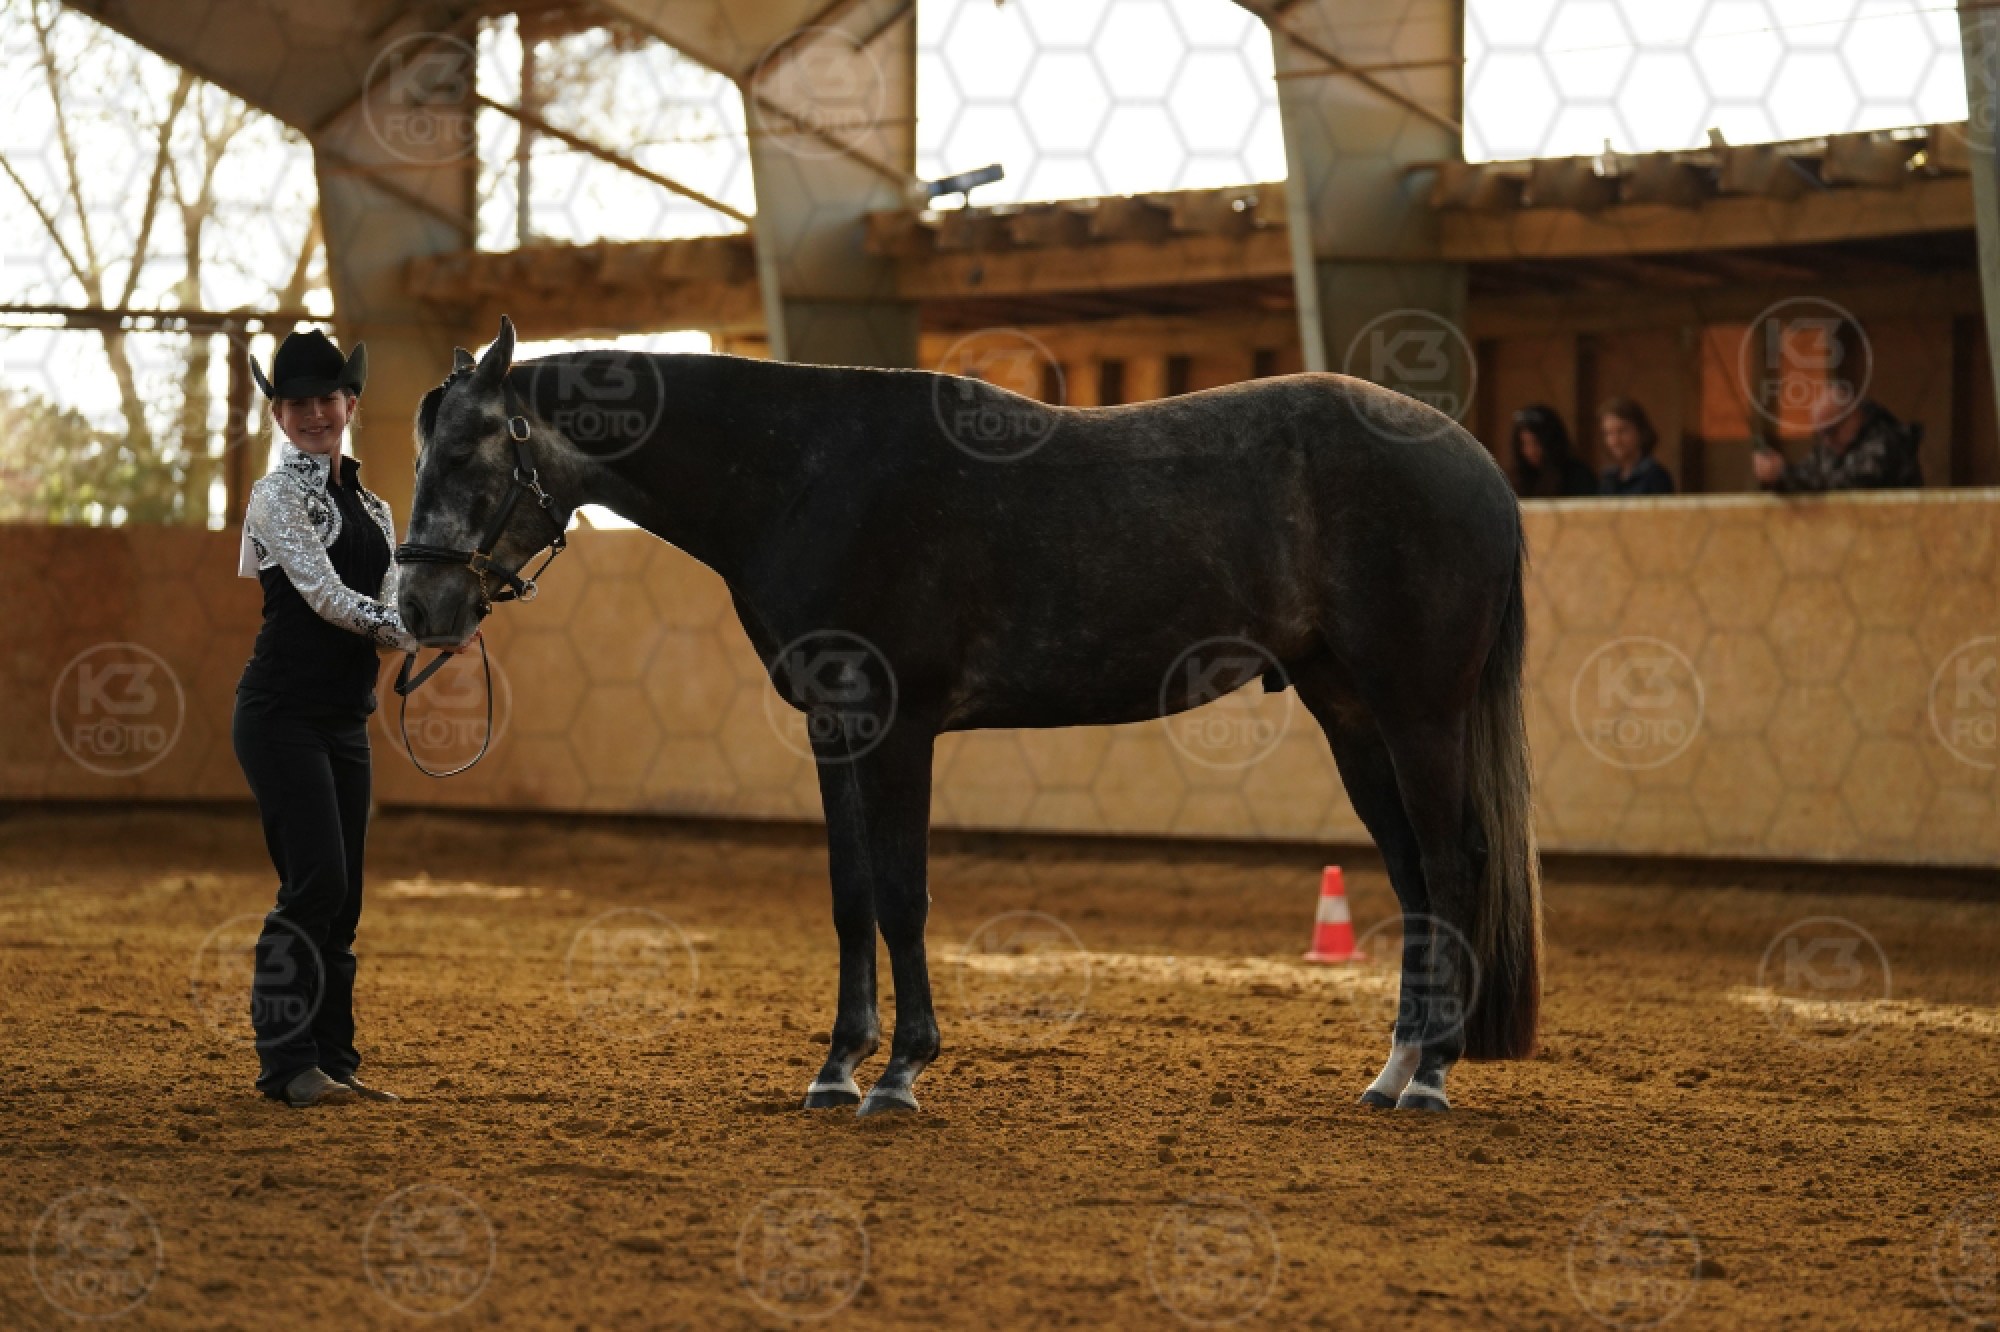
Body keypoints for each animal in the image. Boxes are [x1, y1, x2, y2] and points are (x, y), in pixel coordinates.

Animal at [395, 315, 1542, 1116]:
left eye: (470, 454)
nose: (418, 608)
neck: (810, 477)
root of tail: (1475, 463)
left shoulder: (897, 726)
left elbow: (905, 895)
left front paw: (901, 1073)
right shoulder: (832, 729)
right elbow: (851, 895)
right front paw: (835, 1068)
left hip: (1416, 709)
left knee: (1452, 865)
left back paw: (1433, 1074)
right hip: (1349, 711)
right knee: (1411, 876)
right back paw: (1393, 1068)